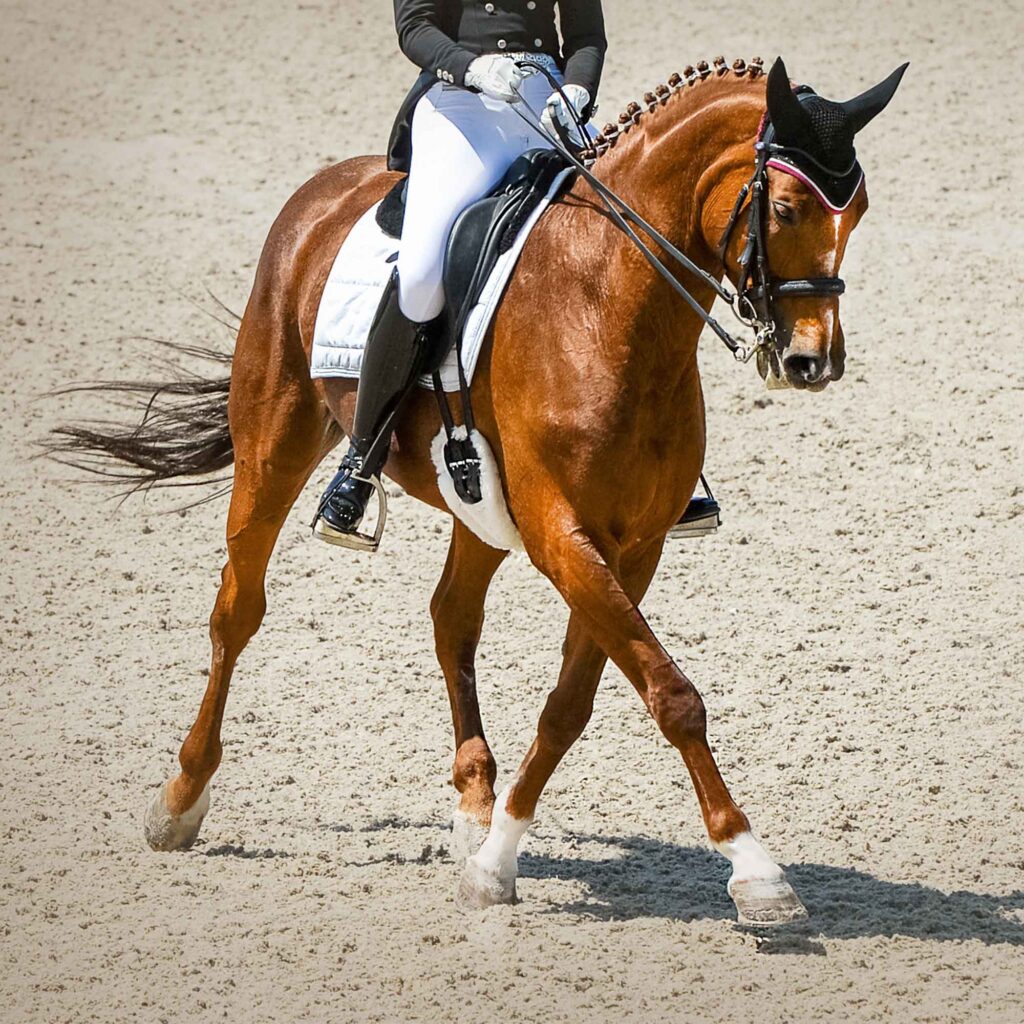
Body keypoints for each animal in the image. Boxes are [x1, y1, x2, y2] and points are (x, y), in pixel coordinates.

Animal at [51, 55, 906, 925]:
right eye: (789, 207)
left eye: (860, 211)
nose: (812, 362)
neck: (609, 304)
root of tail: (326, 186)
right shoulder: (563, 534)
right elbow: (672, 695)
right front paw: (754, 867)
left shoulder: (634, 547)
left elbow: (572, 703)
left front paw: (496, 855)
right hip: (275, 440)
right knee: (238, 610)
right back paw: (179, 799)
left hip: (479, 509)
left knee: (450, 619)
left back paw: (473, 805)